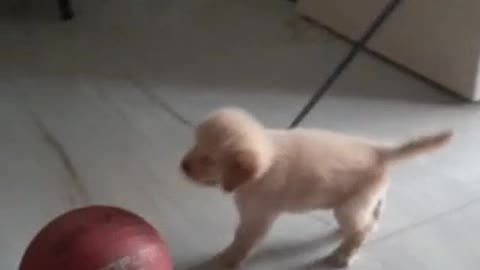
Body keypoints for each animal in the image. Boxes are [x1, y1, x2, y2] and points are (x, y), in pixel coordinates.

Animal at [181, 107, 454, 268]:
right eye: (195, 144)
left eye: (209, 160)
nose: (182, 166)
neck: (267, 162)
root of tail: (378, 150)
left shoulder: (257, 217)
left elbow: (242, 242)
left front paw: (226, 261)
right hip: (367, 197)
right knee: (373, 219)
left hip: (350, 206)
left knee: (363, 229)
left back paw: (344, 255)